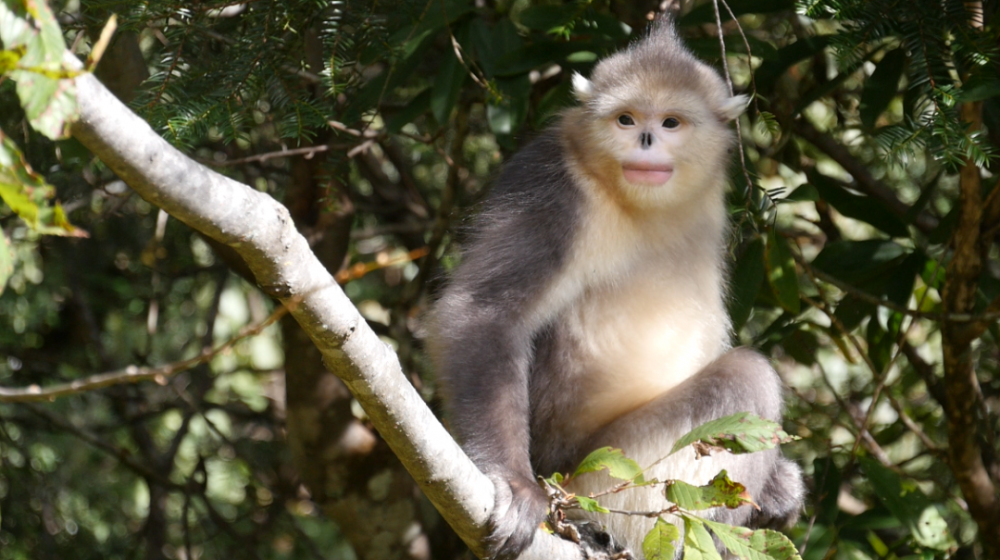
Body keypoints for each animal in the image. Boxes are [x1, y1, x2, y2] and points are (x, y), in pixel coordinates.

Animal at [430, 17, 804, 560]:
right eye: (626, 119)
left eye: (670, 122)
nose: (645, 139)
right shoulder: (553, 187)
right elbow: (484, 311)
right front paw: (513, 483)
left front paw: (781, 487)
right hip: (599, 472)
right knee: (748, 379)